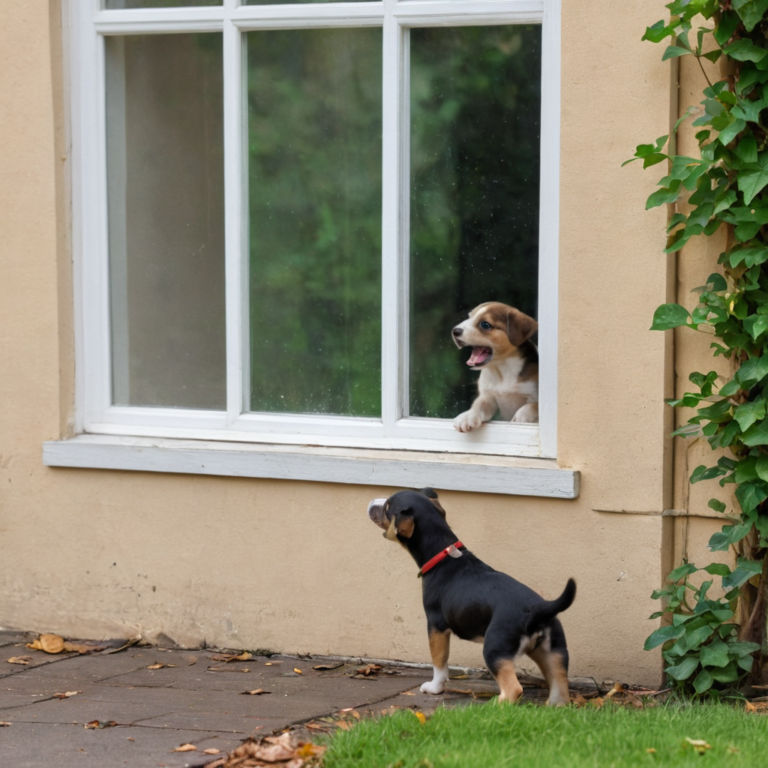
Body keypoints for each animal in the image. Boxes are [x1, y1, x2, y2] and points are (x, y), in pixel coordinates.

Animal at [368, 488, 576, 704]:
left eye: (387, 507)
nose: (371, 502)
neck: (442, 555)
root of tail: (537, 610)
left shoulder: (436, 626)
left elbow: (439, 663)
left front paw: (434, 688)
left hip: (495, 649)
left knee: (513, 689)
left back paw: (492, 705)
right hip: (554, 653)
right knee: (560, 689)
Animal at [452, 302, 536, 432]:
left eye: (485, 325)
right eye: (469, 317)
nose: (454, 331)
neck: (501, 368)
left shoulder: (533, 395)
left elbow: (532, 406)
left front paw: (519, 418)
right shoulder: (488, 397)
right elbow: (478, 405)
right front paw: (467, 416)